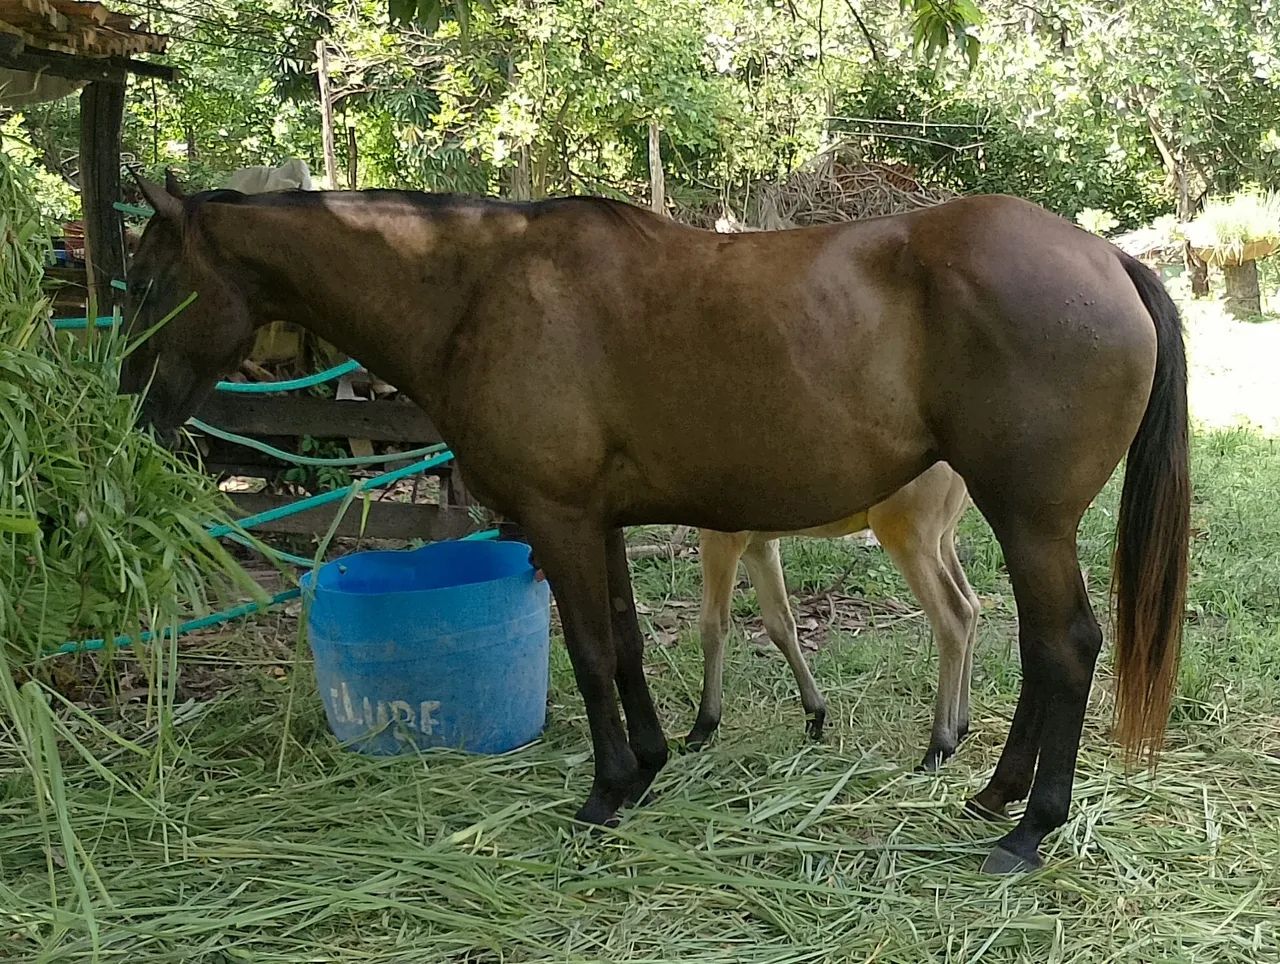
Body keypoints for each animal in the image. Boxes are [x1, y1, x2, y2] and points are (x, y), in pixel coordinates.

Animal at [690, 461, 979, 774]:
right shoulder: (760, 544)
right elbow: (780, 623)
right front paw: (815, 715)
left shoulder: (724, 535)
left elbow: (713, 625)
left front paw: (702, 727)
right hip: (943, 537)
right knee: (972, 604)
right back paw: (960, 726)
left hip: (909, 535)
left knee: (954, 616)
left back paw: (938, 747)